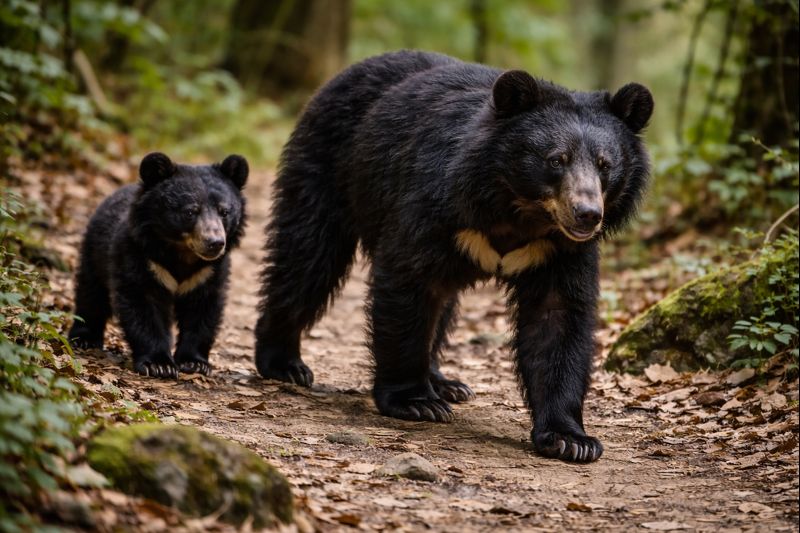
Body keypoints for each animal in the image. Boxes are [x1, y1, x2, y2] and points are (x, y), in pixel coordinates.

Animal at [69, 152, 248, 378]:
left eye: (224, 212)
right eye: (190, 212)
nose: (215, 243)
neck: (182, 253)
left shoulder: (209, 270)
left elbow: (204, 309)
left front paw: (195, 363)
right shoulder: (139, 256)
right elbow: (142, 304)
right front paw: (159, 365)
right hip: (94, 250)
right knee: (91, 293)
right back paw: (84, 338)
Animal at [253, 50, 652, 463]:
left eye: (606, 165)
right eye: (556, 159)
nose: (587, 214)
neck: (519, 212)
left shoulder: (560, 249)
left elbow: (558, 318)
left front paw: (571, 439)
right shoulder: (434, 203)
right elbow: (408, 280)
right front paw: (415, 401)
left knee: (440, 305)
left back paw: (445, 383)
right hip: (329, 168)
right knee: (307, 259)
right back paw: (284, 362)